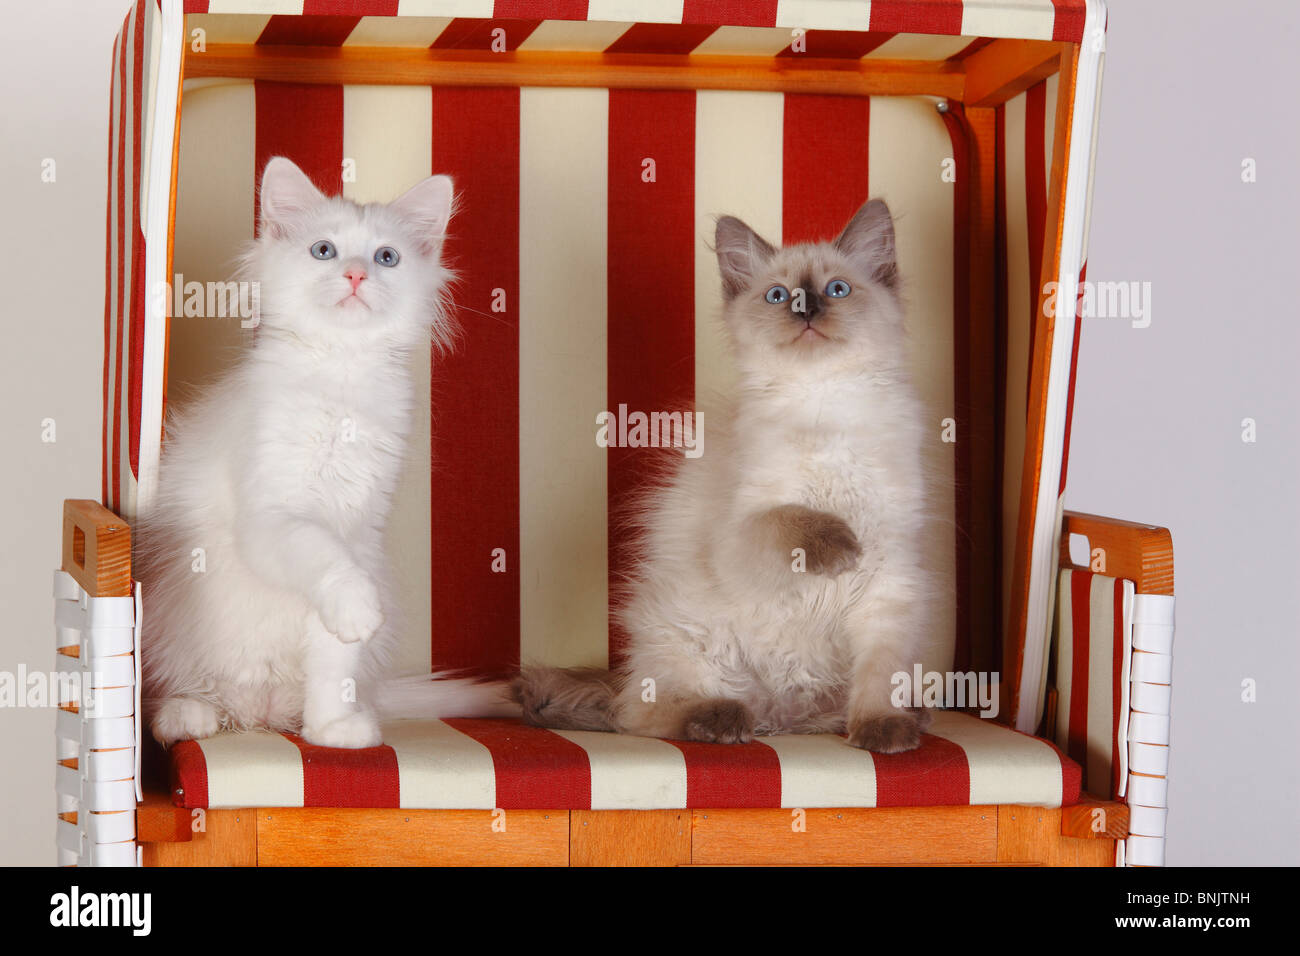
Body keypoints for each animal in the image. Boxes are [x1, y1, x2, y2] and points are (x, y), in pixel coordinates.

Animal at [135, 157, 512, 749]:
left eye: (386, 257)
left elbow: (335, 656)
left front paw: (330, 725)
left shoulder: (359, 529)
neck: (341, 377)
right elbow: (325, 560)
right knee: (177, 698)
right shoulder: (273, 517)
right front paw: (357, 609)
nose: (356, 275)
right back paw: (188, 716)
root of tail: (256, 715)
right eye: (324, 251)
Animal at [512, 200, 941, 754]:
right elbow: (787, 519)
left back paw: (905, 715)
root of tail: (780, 717)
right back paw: (720, 719)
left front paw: (882, 729)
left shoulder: (891, 578)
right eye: (778, 295)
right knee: (642, 716)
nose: (806, 310)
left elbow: (880, 675)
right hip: (690, 640)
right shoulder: (741, 538)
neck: (824, 407)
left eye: (837, 289)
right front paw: (838, 545)